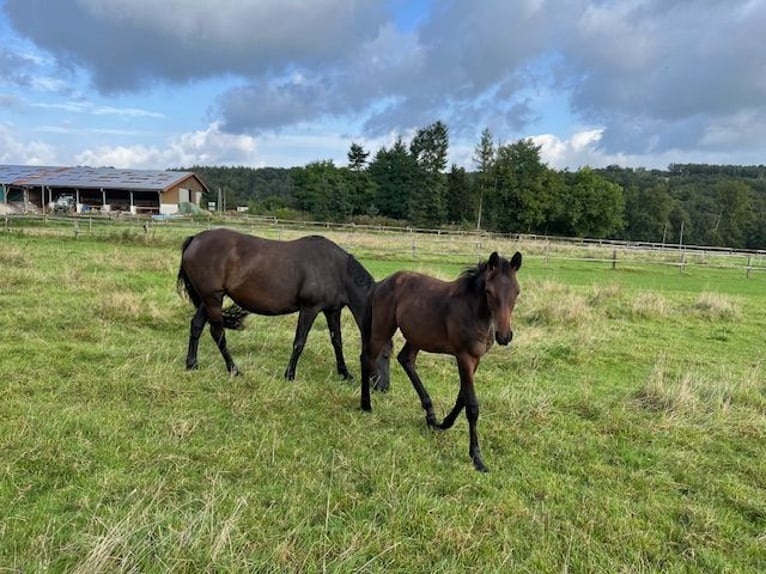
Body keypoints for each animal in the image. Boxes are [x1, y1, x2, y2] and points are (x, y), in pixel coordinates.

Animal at [178, 227, 390, 384]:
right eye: (386, 355)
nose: (382, 387)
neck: (336, 269)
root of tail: (195, 239)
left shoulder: (332, 310)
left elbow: (337, 341)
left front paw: (345, 374)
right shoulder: (309, 309)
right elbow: (299, 342)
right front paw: (290, 375)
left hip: (207, 300)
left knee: (196, 325)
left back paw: (192, 364)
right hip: (213, 299)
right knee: (218, 333)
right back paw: (234, 370)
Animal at [360, 251, 520, 472]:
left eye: (517, 292)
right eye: (489, 291)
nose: (504, 336)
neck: (474, 311)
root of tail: (382, 283)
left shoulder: (476, 359)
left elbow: (462, 397)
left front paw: (445, 423)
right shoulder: (464, 357)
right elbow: (472, 405)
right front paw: (477, 457)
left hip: (417, 335)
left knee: (406, 359)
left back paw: (431, 415)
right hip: (382, 329)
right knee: (367, 359)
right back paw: (366, 405)